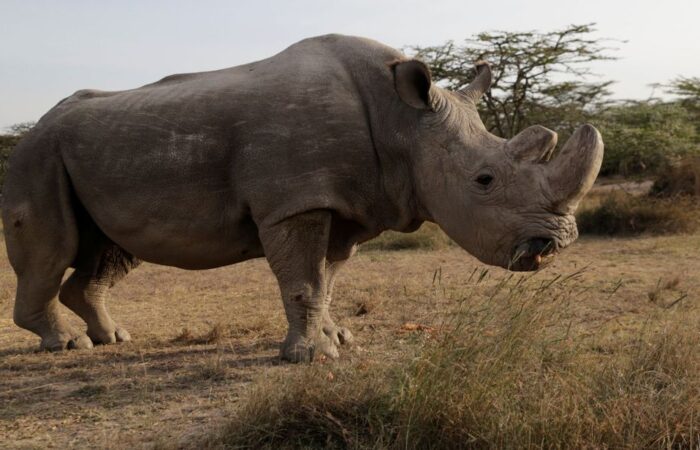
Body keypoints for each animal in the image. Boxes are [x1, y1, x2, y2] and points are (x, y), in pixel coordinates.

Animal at [2, 34, 603, 362]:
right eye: (484, 180)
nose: (554, 245)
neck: (403, 123)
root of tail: (35, 126)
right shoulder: (294, 202)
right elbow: (303, 281)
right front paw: (309, 358)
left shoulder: (347, 204)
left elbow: (326, 280)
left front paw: (339, 338)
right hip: (36, 155)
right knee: (53, 247)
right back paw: (68, 346)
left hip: (91, 155)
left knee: (109, 251)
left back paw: (113, 339)